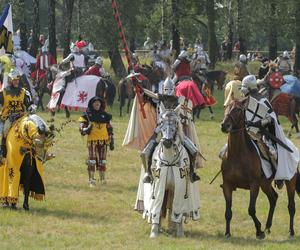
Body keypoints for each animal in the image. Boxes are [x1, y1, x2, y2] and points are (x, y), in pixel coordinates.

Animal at [146, 103, 199, 238]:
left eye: (176, 122)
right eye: (161, 122)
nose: (167, 142)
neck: (169, 160)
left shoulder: (179, 188)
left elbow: (178, 211)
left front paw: (180, 233)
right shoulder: (159, 185)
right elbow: (157, 209)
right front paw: (154, 232)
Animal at [220, 99, 300, 238]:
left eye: (238, 109)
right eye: (226, 107)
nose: (224, 125)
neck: (237, 154)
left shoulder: (254, 184)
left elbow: (251, 209)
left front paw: (259, 231)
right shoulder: (227, 185)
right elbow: (228, 212)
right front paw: (227, 233)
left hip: (290, 181)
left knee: (291, 206)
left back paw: (291, 231)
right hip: (265, 184)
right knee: (273, 198)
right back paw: (268, 226)